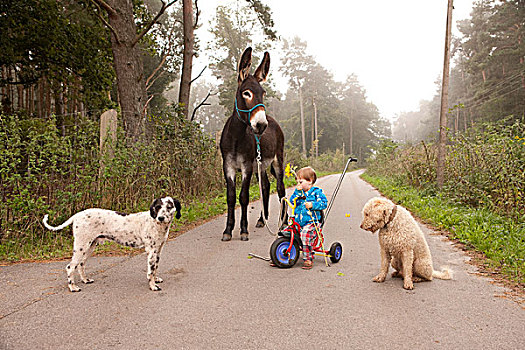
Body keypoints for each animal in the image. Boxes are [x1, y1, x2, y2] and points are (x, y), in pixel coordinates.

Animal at [41, 197, 180, 292]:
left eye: (169, 206)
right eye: (157, 207)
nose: (161, 218)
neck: (155, 223)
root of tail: (77, 215)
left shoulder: (158, 250)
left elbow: (155, 268)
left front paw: (156, 280)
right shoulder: (151, 252)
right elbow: (150, 271)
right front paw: (153, 286)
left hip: (89, 247)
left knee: (81, 264)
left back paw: (85, 280)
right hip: (81, 246)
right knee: (70, 267)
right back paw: (73, 287)